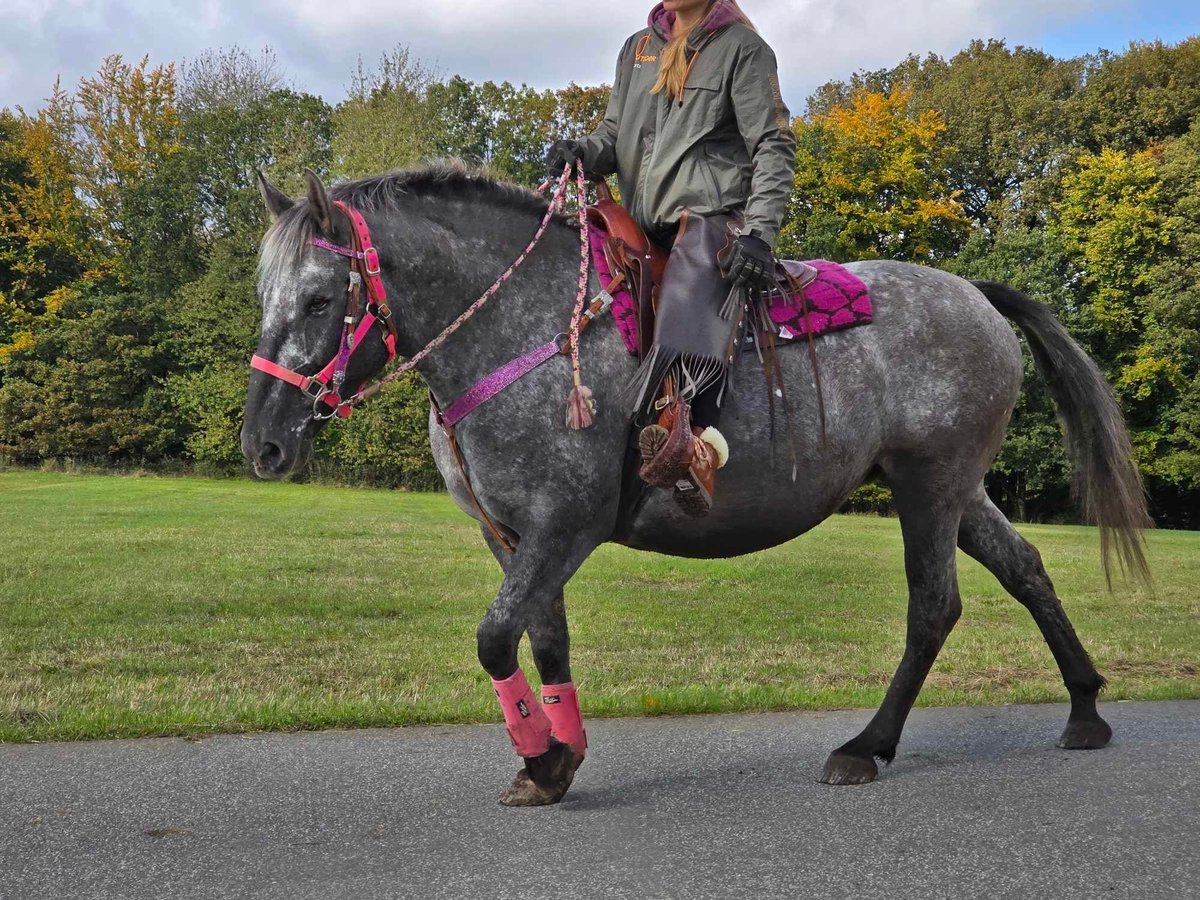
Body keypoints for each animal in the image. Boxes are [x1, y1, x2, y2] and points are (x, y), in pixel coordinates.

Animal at [243, 164, 1152, 811]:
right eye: (264, 296)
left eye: (320, 299)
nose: (263, 442)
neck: (529, 330)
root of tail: (975, 293)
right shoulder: (511, 535)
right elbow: (545, 640)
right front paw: (557, 759)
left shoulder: (565, 525)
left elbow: (496, 639)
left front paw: (541, 752)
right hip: (956, 488)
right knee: (1026, 566)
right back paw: (1084, 708)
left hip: (930, 485)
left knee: (934, 605)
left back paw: (867, 745)